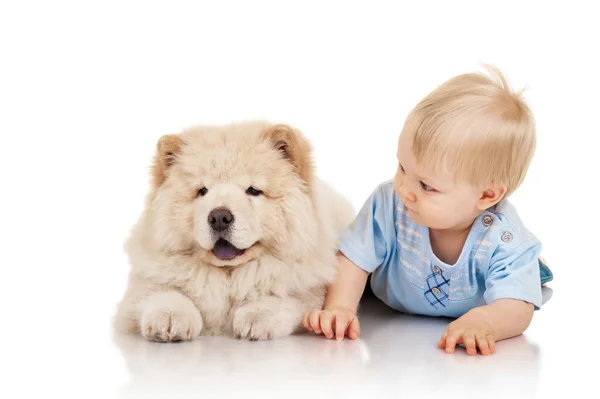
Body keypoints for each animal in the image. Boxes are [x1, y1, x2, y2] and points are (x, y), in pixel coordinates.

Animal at [115, 120, 354, 342]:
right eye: (202, 191)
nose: (219, 217)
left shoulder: (310, 289)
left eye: (253, 191)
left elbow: (286, 297)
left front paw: (256, 316)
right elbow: (161, 293)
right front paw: (169, 317)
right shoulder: (142, 286)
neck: (229, 277)